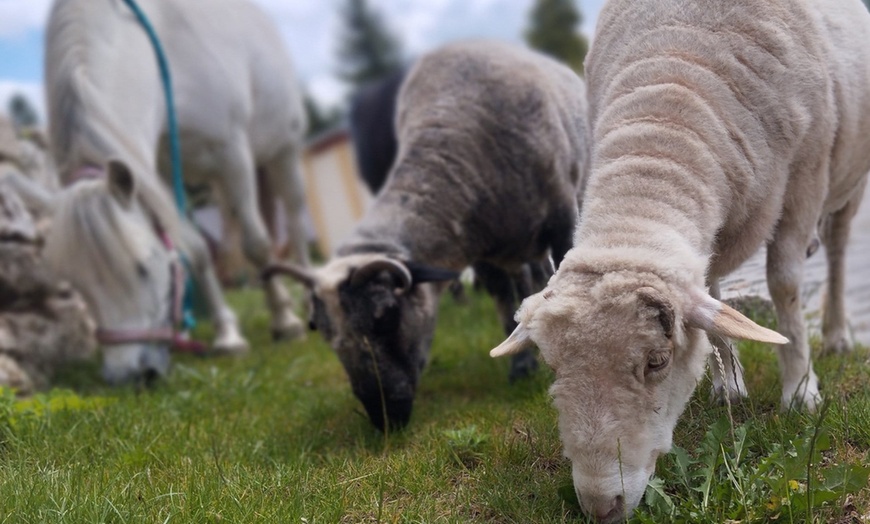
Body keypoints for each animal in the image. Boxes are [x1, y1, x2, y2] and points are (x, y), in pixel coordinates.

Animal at [41, 0, 314, 384]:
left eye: (143, 268)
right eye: (76, 284)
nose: (126, 376)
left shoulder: (232, 154)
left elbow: (256, 244)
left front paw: (284, 322)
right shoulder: (162, 173)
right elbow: (195, 249)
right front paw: (228, 336)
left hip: (283, 152)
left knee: (294, 220)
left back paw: (306, 297)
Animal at [276, 39, 592, 428]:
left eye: (386, 315)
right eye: (317, 327)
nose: (384, 418)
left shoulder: (562, 220)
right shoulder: (483, 255)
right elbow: (506, 305)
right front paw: (520, 367)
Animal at [490, 1, 870, 520]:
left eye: (657, 361)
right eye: (551, 365)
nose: (600, 507)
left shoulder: (805, 178)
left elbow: (785, 284)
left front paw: (799, 391)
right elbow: (712, 299)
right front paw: (729, 384)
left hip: (847, 179)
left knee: (836, 246)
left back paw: (835, 336)